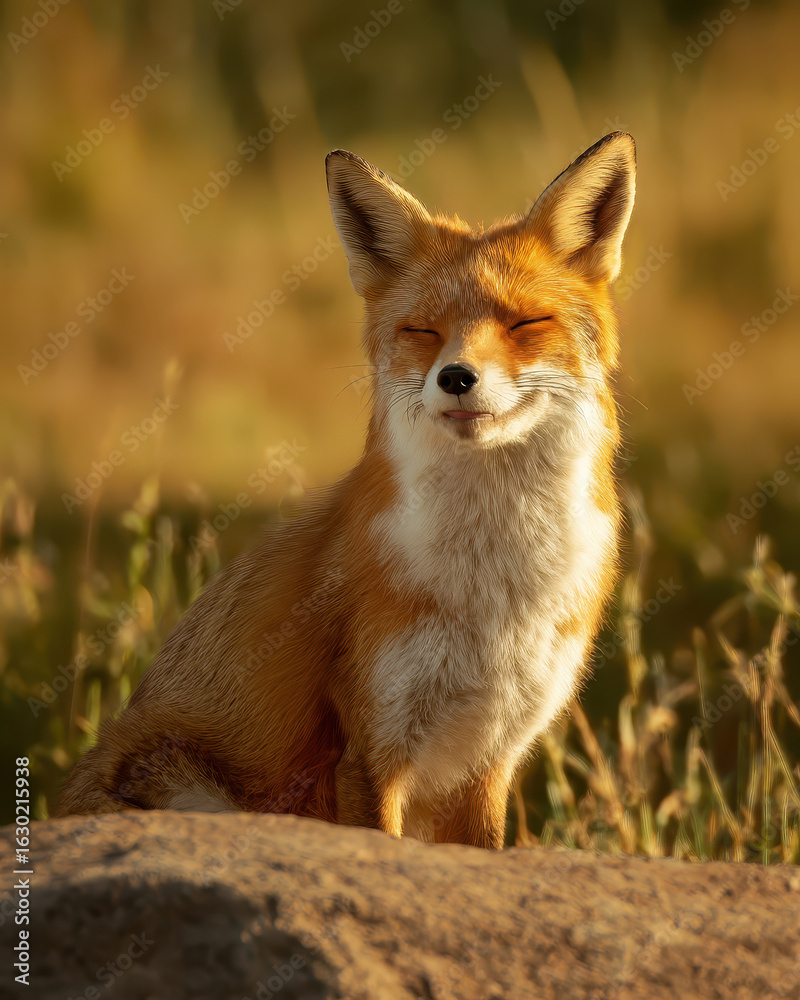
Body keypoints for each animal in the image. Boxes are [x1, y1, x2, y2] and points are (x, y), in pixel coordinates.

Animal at [55, 132, 636, 849]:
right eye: (422, 331)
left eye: (524, 324)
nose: (456, 377)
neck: (492, 585)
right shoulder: (370, 747)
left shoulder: (491, 756)